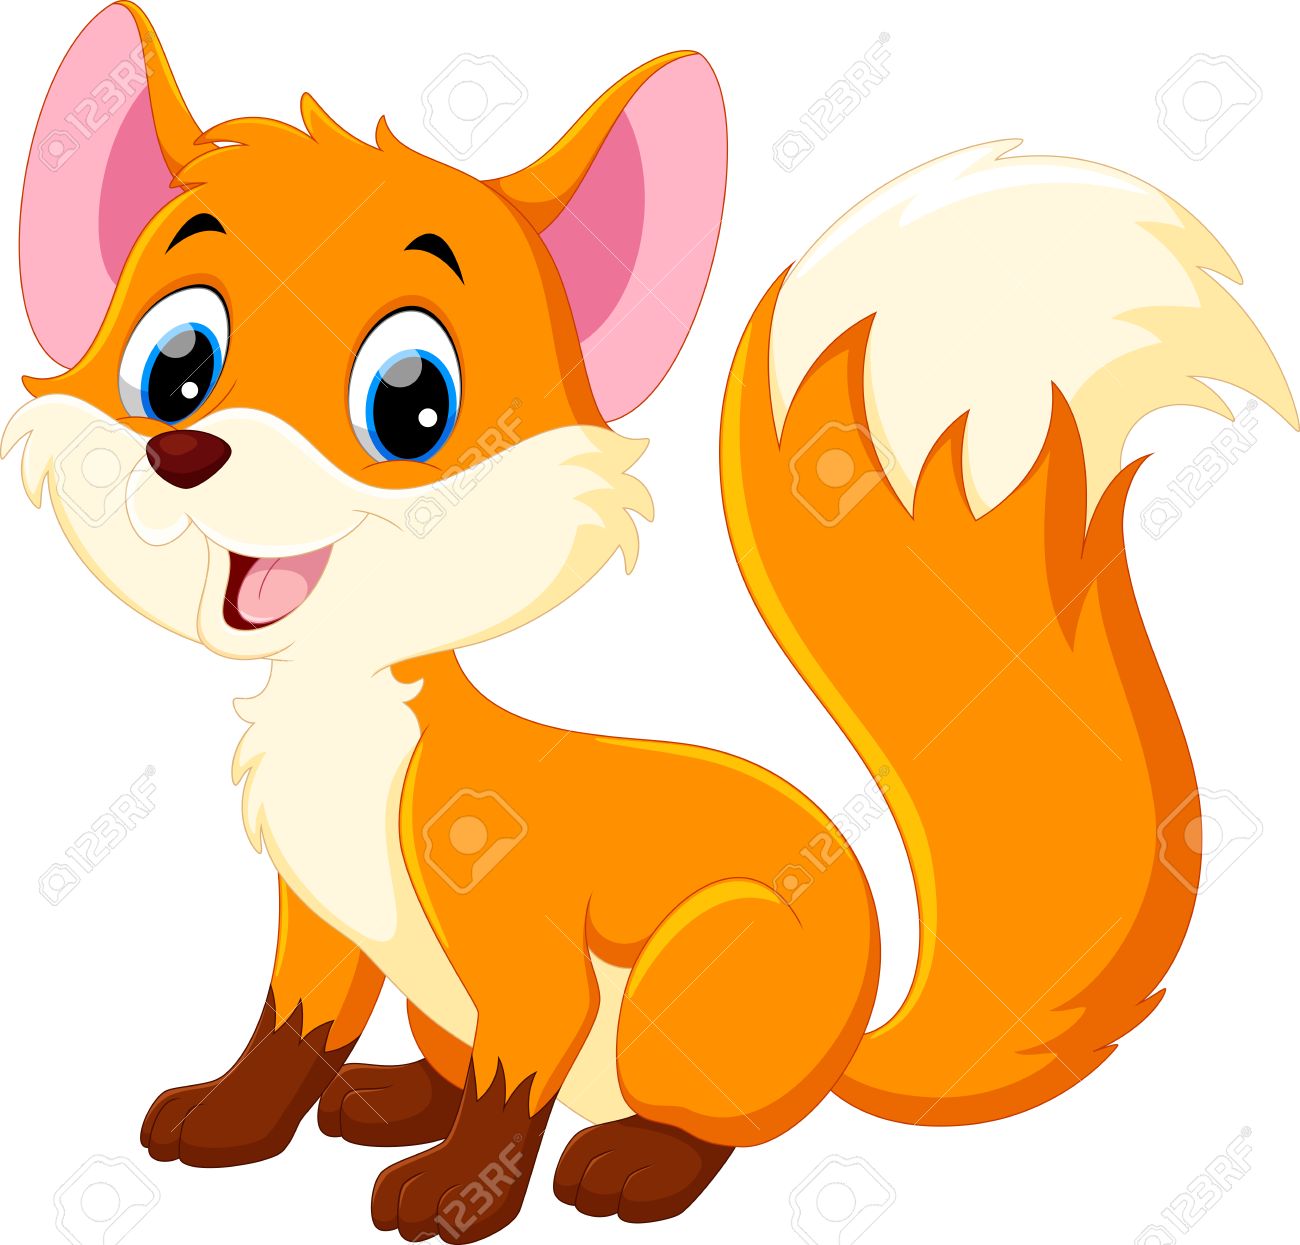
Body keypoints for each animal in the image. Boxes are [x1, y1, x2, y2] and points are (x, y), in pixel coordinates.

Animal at [7, 3, 1295, 1241]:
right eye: (176, 367)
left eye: (411, 403)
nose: (185, 453)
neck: (350, 727)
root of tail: (846, 1046)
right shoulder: (319, 920)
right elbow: (290, 1031)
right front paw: (234, 1121)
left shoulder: (521, 939)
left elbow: (516, 1075)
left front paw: (461, 1197)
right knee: (450, 1061)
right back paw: (390, 1100)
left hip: (702, 971)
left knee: (707, 1128)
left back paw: (631, 1165)